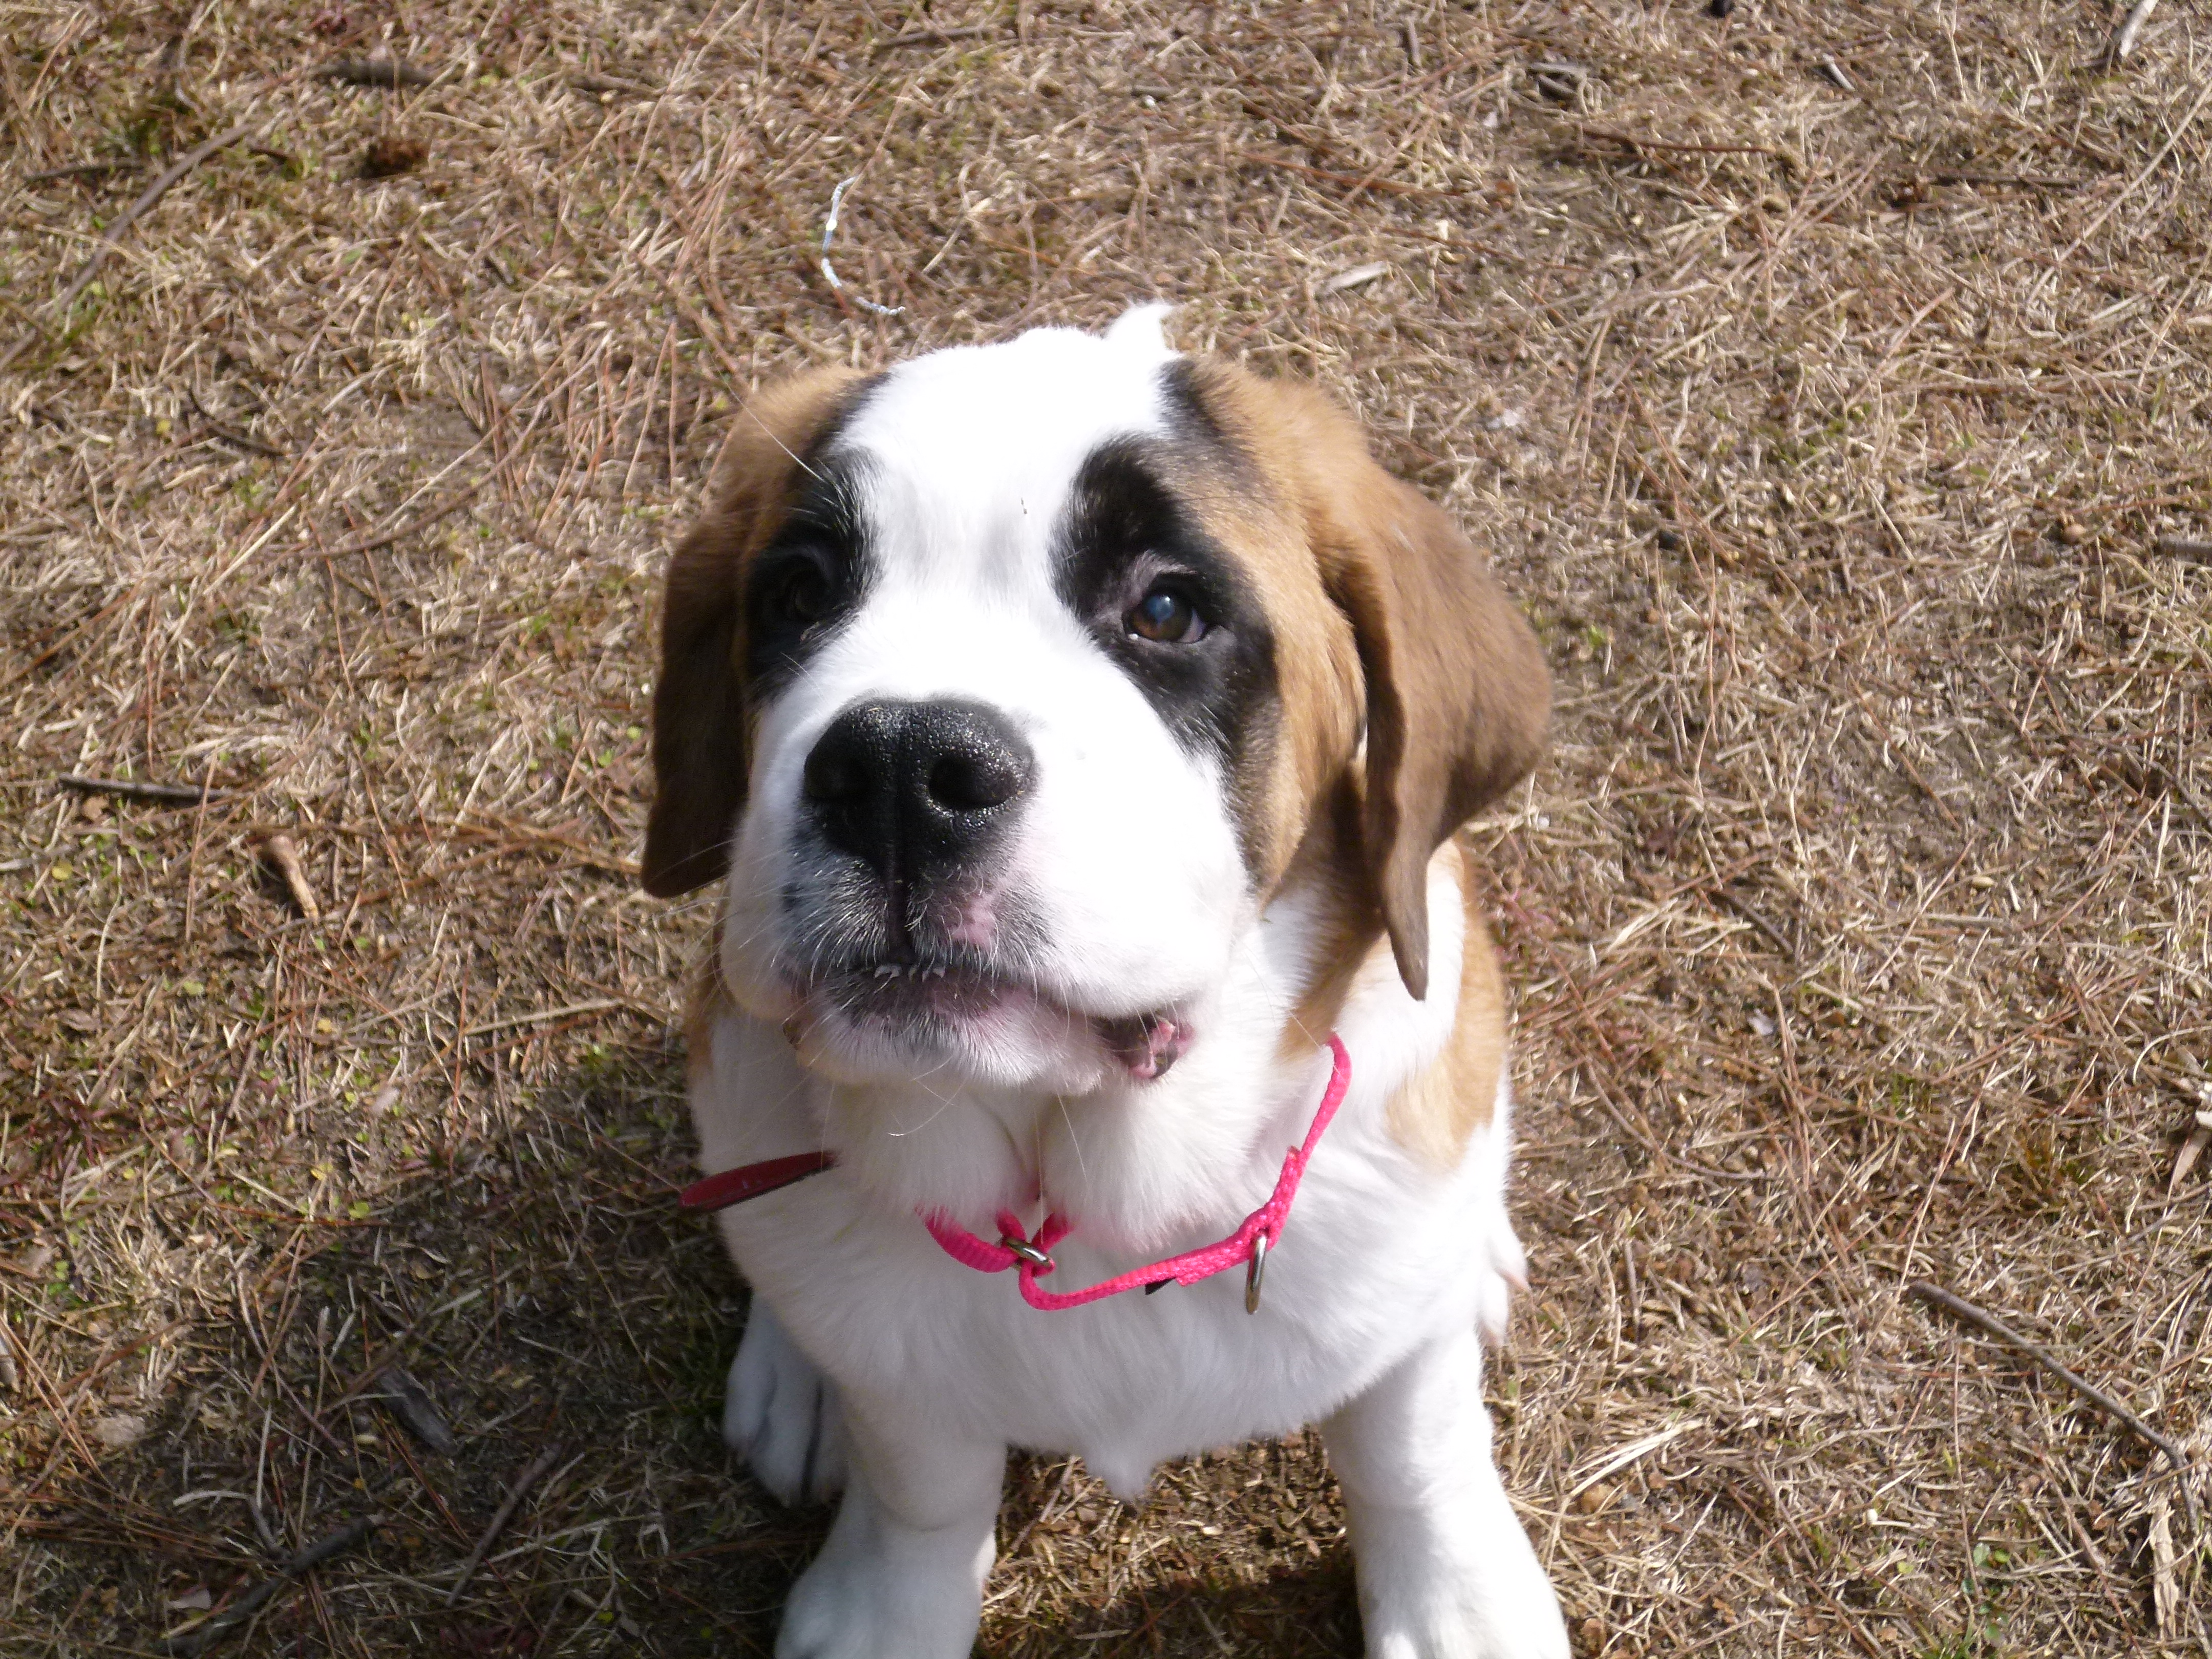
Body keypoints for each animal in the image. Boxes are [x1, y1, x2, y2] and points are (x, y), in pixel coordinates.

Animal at [644, 305, 1567, 1659]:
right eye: (800, 594)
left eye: (1168, 609)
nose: (898, 771)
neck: (1094, 1195)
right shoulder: (908, 1379)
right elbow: (921, 1478)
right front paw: (888, 1606)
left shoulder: (1395, 1304)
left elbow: (1412, 1440)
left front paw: (1457, 1606)